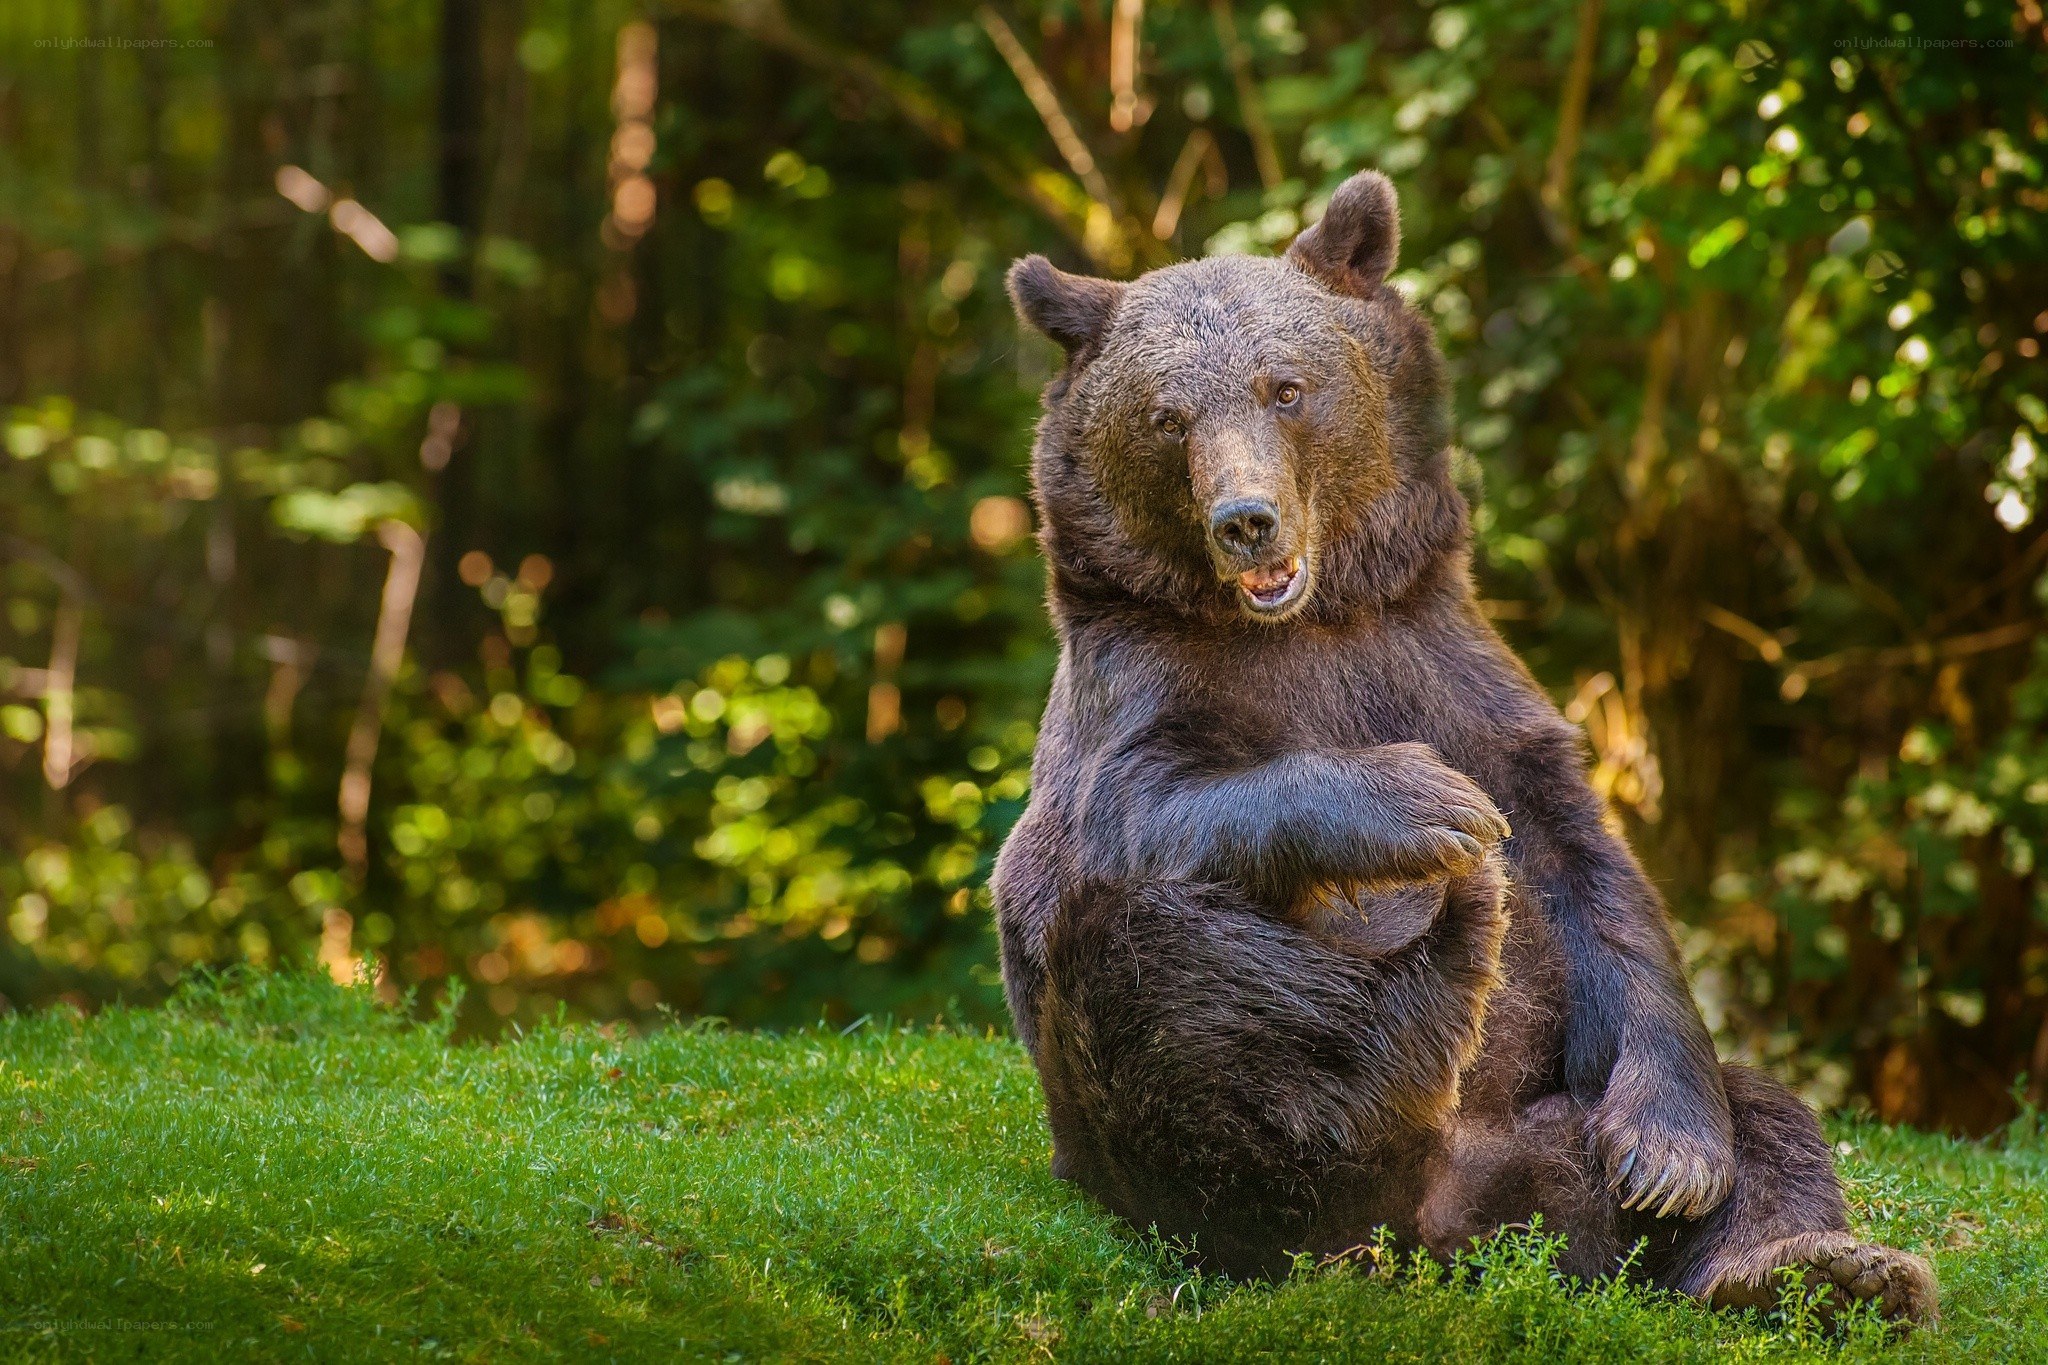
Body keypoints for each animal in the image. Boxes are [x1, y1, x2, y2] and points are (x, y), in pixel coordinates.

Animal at [989, 168, 1937, 1325]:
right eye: (1166, 417)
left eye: (1285, 387)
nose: (1245, 520)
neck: (1309, 619)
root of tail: (1449, 1228)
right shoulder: (1139, 690)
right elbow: (1140, 807)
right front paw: (1429, 808)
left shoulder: (1443, 664)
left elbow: (1590, 874)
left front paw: (1670, 1153)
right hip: (1140, 1112)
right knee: (1170, 973)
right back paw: (1427, 976)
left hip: (1555, 1146)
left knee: (1768, 1121)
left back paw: (1820, 1269)